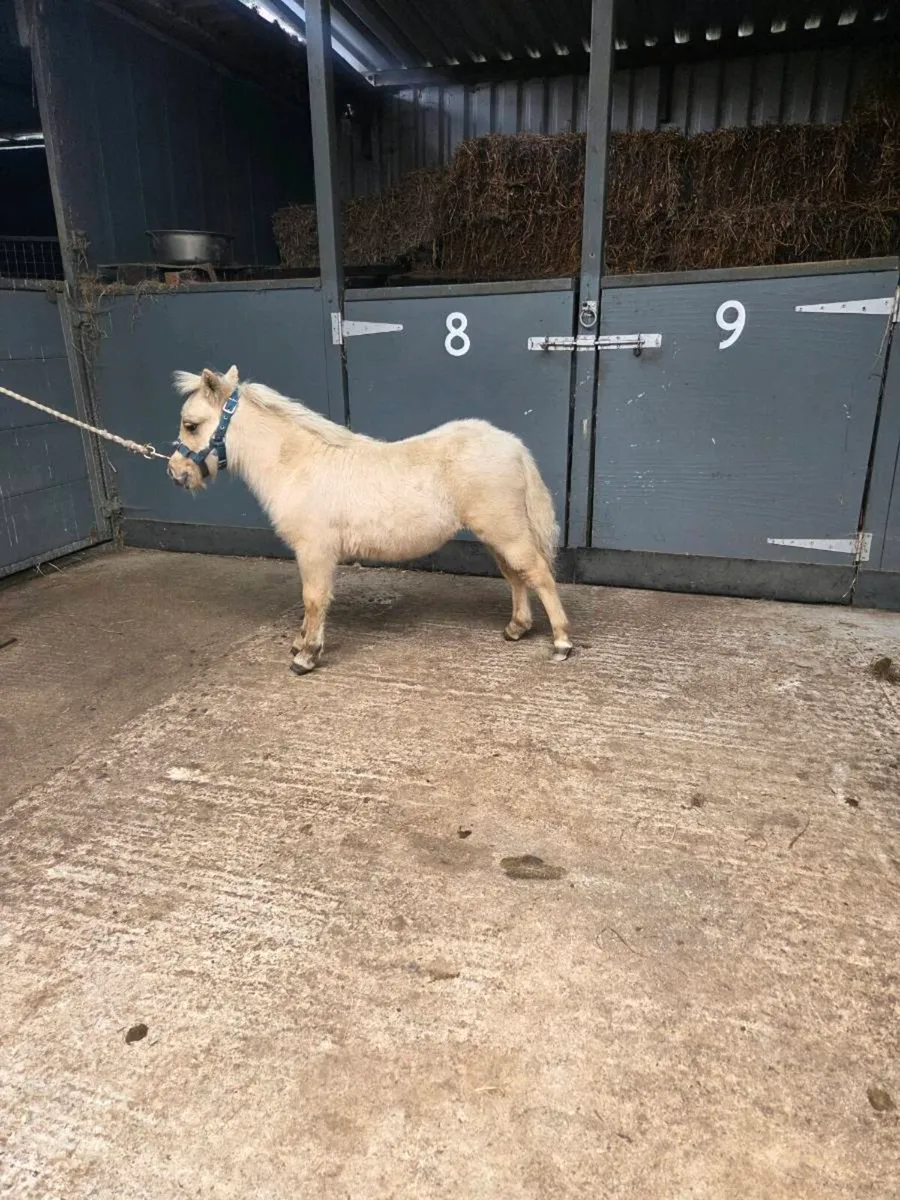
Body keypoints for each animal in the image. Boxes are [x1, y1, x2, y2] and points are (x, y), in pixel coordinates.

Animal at [167, 366, 572, 675]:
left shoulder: (315, 551)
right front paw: (300, 643)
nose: (176, 473)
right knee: (515, 575)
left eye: (191, 425)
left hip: (507, 531)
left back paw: (562, 642)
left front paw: (306, 656)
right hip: (496, 534)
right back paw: (517, 628)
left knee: (537, 573)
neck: (299, 464)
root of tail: (512, 445)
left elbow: (314, 598)